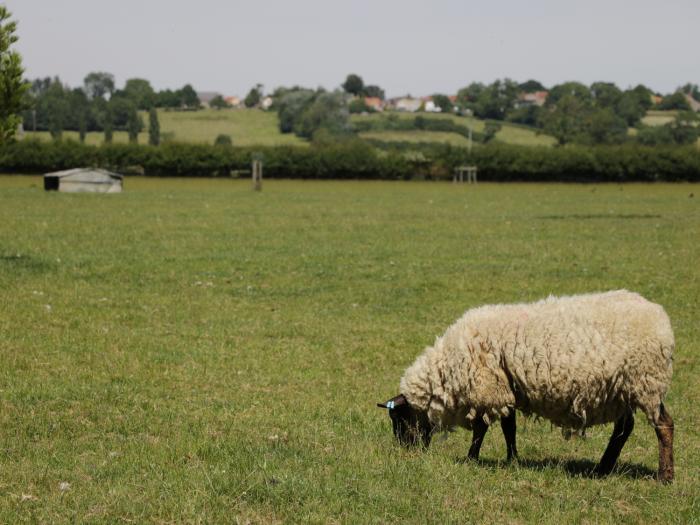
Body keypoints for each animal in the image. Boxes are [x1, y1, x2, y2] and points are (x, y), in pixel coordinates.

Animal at [380, 290, 676, 484]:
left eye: (401, 420)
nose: (407, 452)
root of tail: (660, 318)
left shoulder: (489, 389)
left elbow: (481, 429)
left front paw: (472, 457)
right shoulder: (507, 390)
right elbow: (508, 428)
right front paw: (512, 459)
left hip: (645, 381)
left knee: (663, 425)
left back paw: (665, 476)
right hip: (624, 389)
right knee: (624, 429)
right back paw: (603, 469)